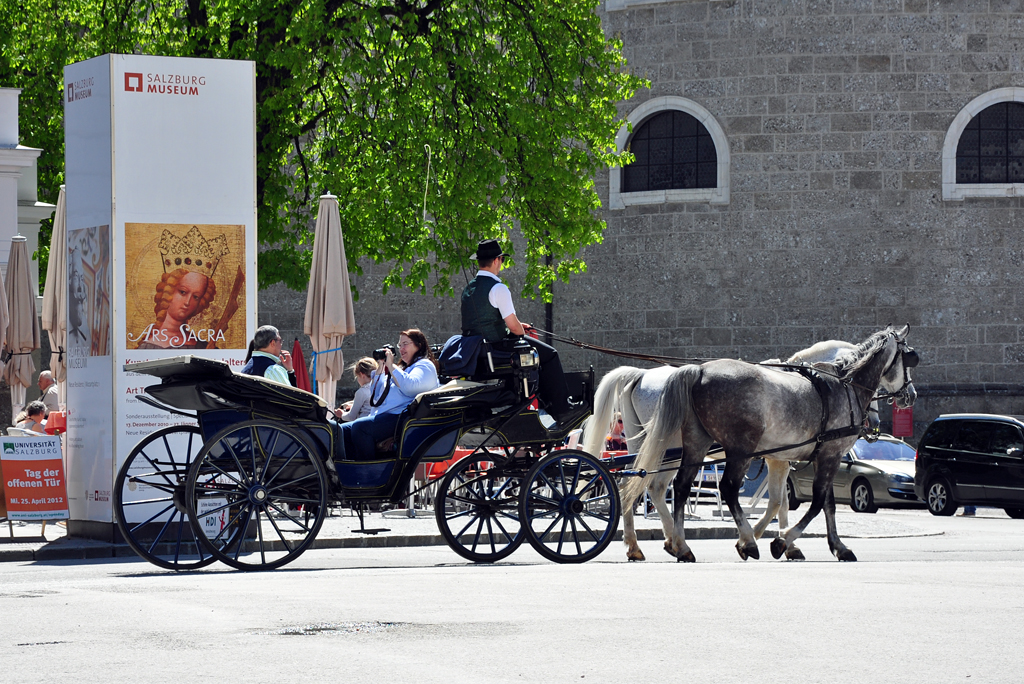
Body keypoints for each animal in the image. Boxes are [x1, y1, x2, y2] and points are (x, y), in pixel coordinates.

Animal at [585, 339, 905, 561]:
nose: (875, 422)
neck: (816, 387)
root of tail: (641, 375)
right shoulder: (798, 457)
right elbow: (787, 503)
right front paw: (776, 540)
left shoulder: (783, 458)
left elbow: (785, 501)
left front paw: (790, 542)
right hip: (680, 448)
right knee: (661, 487)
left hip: (661, 446)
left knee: (641, 485)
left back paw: (656, 544)